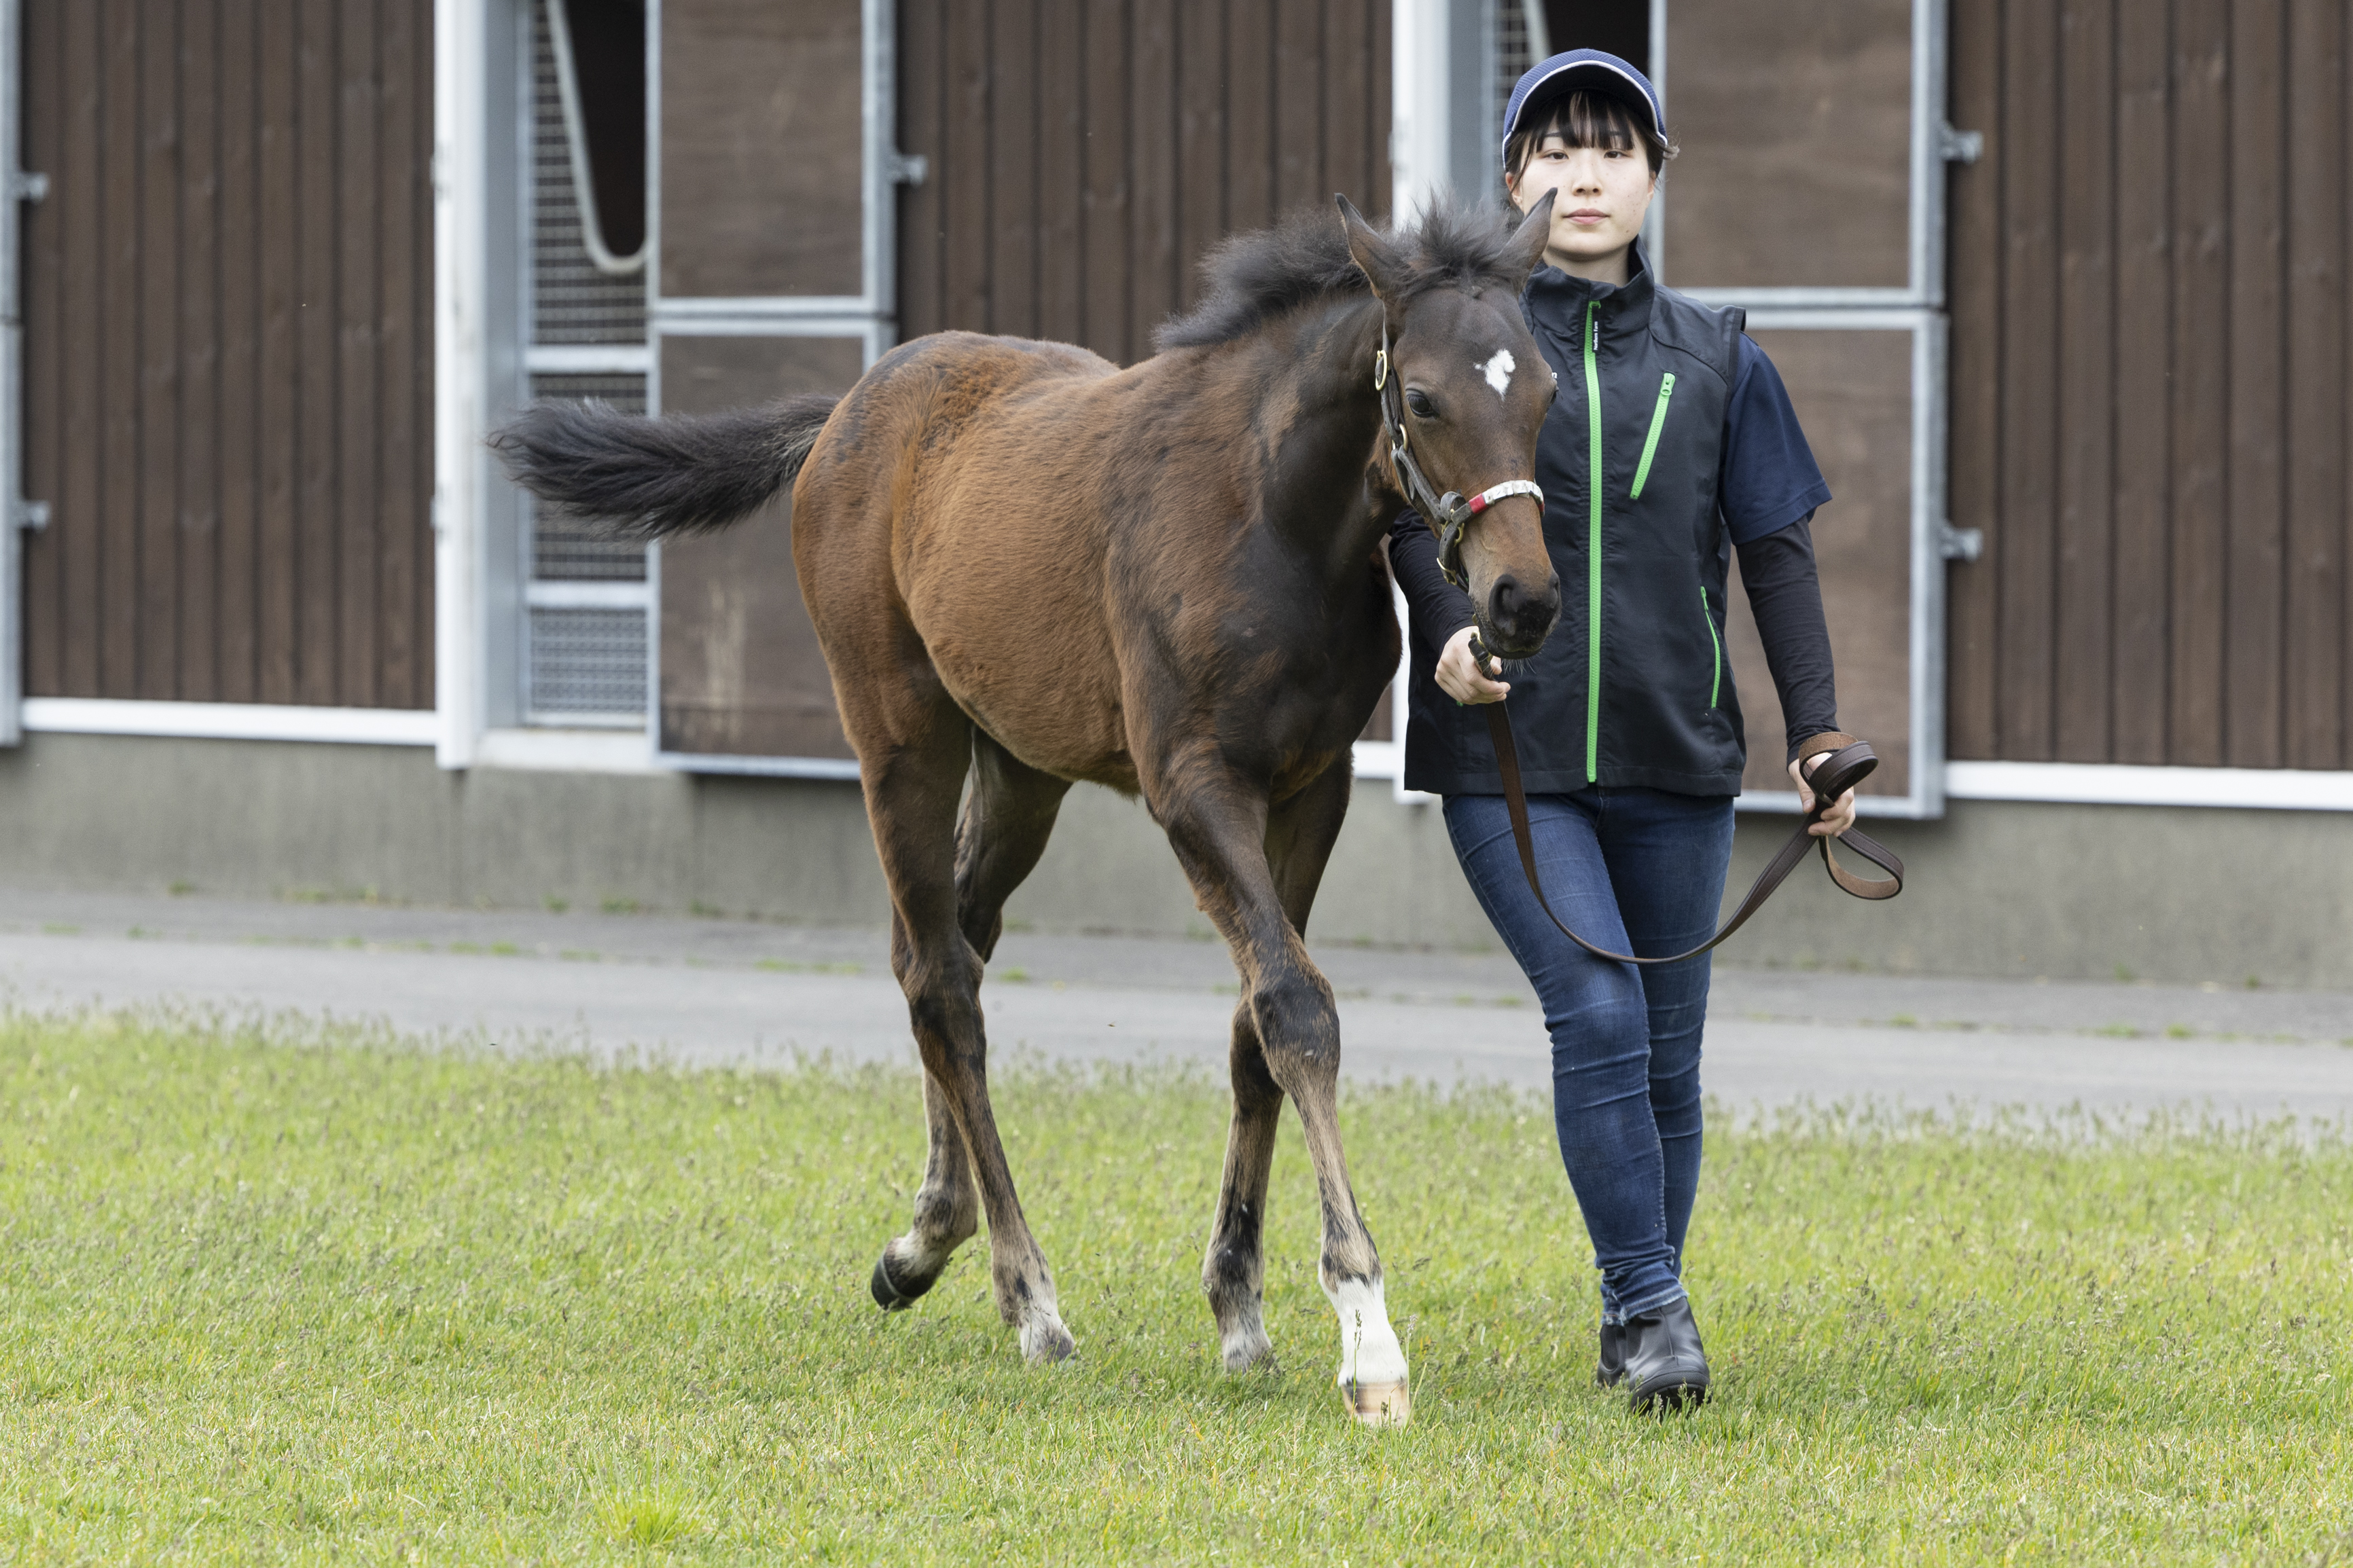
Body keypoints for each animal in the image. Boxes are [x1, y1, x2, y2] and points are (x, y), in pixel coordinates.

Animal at [493, 194, 1564, 1426]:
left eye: (1544, 389)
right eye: (1425, 398)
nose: (1522, 602)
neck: (1271, 519)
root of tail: (843, 414)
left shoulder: (1313, 786)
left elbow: (1256, 1025)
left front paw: (1239, 1312)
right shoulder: (1193, 787)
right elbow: (1296, 1007)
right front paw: (1368, 1338)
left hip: (1018, 770)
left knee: (947, 940)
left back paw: (923, 1237)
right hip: (898, 733)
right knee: (941, 979)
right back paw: (1028, 1300)